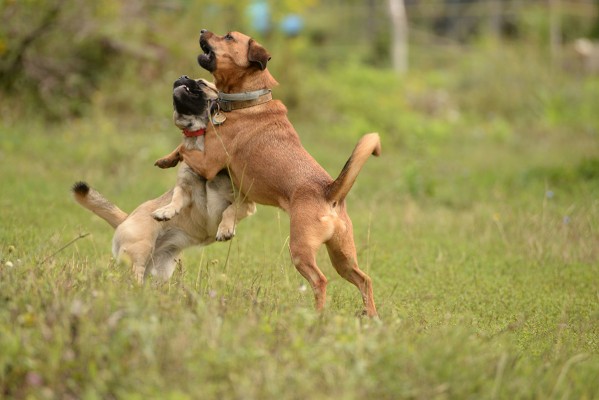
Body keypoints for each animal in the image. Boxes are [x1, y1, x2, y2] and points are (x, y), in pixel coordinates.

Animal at [73, 76, 255, 282]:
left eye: (202, 83)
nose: (183, 76)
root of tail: (126, 219)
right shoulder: (184, 188)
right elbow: (176, 198)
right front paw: (165, 212)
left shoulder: (246, 202)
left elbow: (230, 211)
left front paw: (225, 229)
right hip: (138, 254)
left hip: (159, 269)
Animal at [155, 29, 380, 318]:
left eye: (228, 37)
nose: (203, 30)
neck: (247, 101)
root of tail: (330, 191)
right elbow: (181, 149)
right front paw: (166, 160)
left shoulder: (209, 162)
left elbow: (185, 147)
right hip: (342, 257)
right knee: (364, 280)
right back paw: (371, 317)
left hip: (301, 250)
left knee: (320, 281)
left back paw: (317, 317)